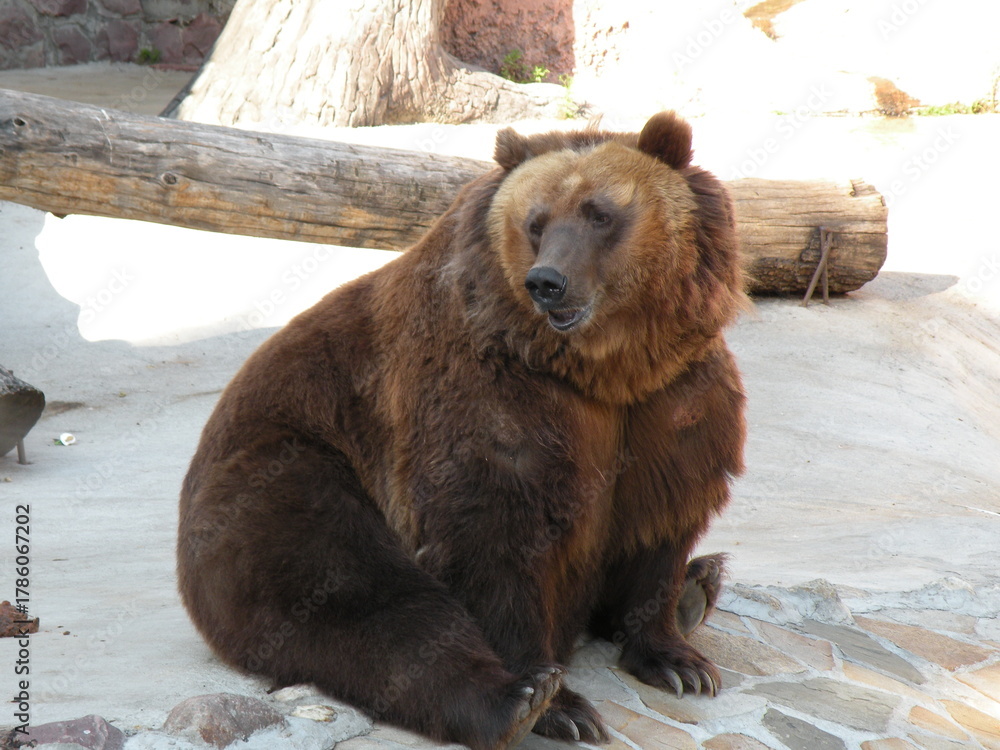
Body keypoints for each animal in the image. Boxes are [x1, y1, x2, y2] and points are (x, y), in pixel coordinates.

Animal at [177, 111, 746, 748]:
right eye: (535, 222)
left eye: (600, 213)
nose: (547, 281)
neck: (601, 371)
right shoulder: (484, 395)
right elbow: (495, 536)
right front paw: (552, 697)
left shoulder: (672, 400)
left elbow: (662, 515)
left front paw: (678, 660)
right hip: (287, 470)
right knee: (355, 589)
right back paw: (510, 704)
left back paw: (700, 584)